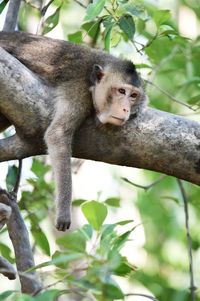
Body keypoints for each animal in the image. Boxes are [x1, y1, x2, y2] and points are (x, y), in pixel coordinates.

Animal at [0, 31, 147, 230]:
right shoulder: (78, 92)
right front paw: (63, 212)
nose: (125, 109)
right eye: (121, 91)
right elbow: (58, 134)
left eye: (133, 95)